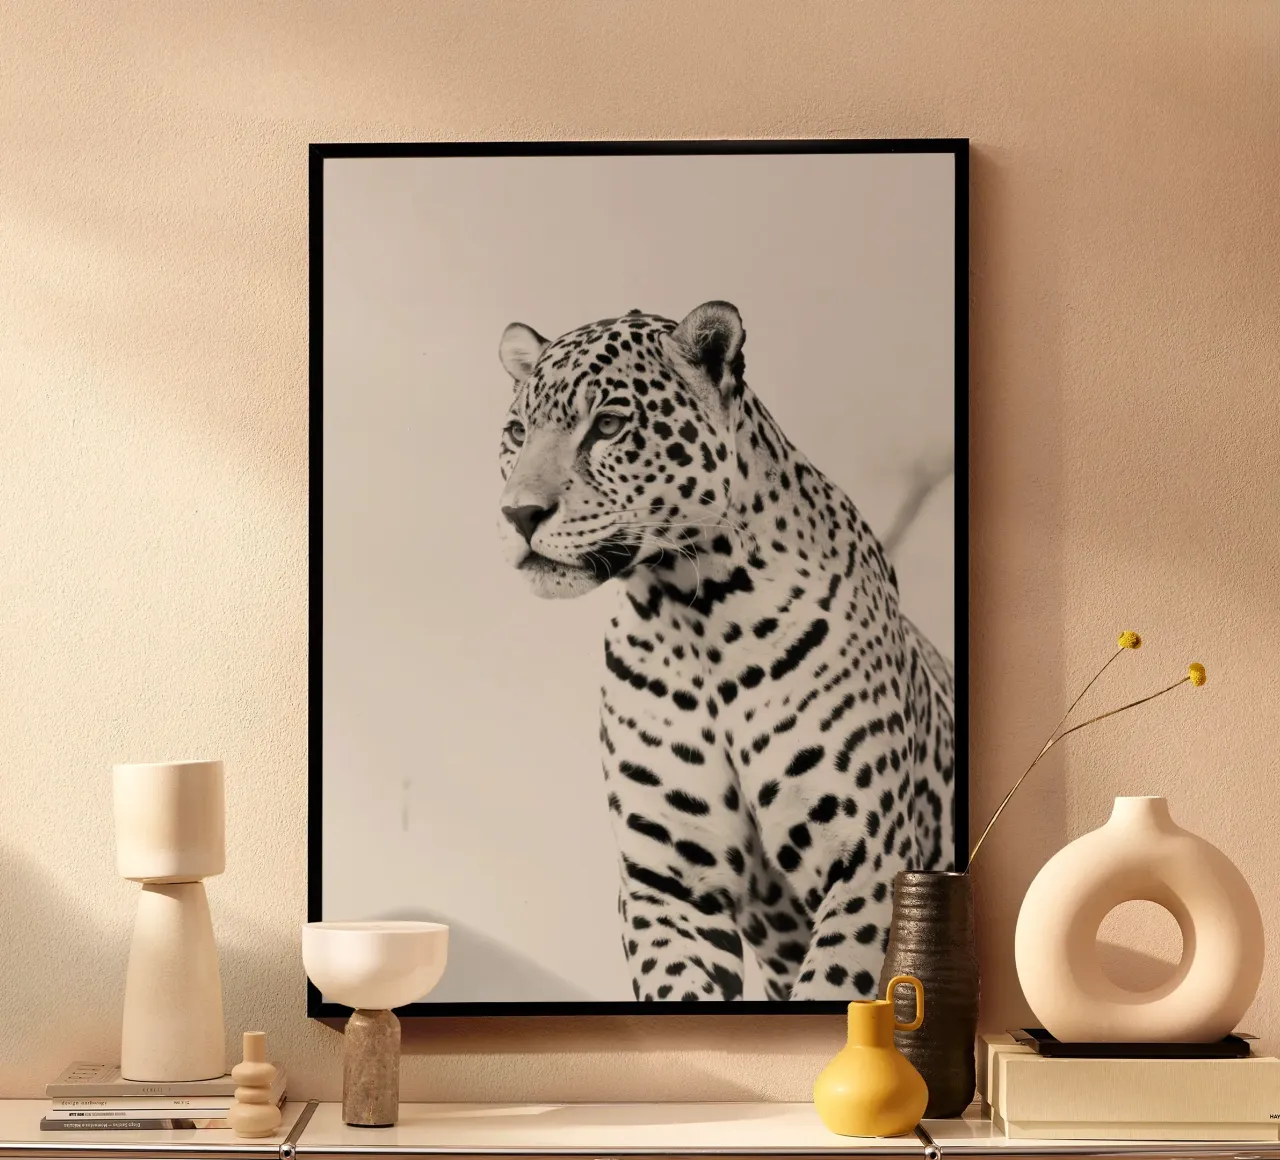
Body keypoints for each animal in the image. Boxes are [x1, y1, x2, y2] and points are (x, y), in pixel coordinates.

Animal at [495, 300, 956, 1001]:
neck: (694, 614)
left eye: (607, 425)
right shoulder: (668, 881)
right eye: (517, 432)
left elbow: (836, 986)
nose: (519, 515)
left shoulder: (868, 860)